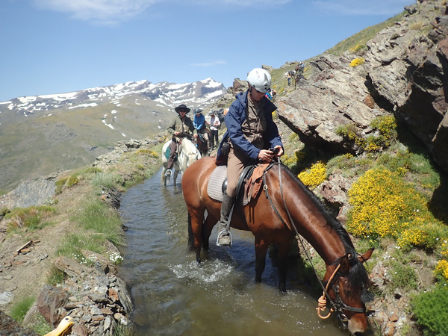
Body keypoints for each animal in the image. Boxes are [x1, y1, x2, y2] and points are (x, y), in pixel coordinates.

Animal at [182, 158, 374, 334]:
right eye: (346, 290)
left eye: (364, 287)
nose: (360, 329)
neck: (280, 200)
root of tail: (194, 166)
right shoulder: (261, 240)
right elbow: (259, 269)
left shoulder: (285, 241)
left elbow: (283, 270)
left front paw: (282, 293)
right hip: (195, 210)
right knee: (197, 239)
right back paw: (200, 265)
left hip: (213, 212)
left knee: (205, 234)